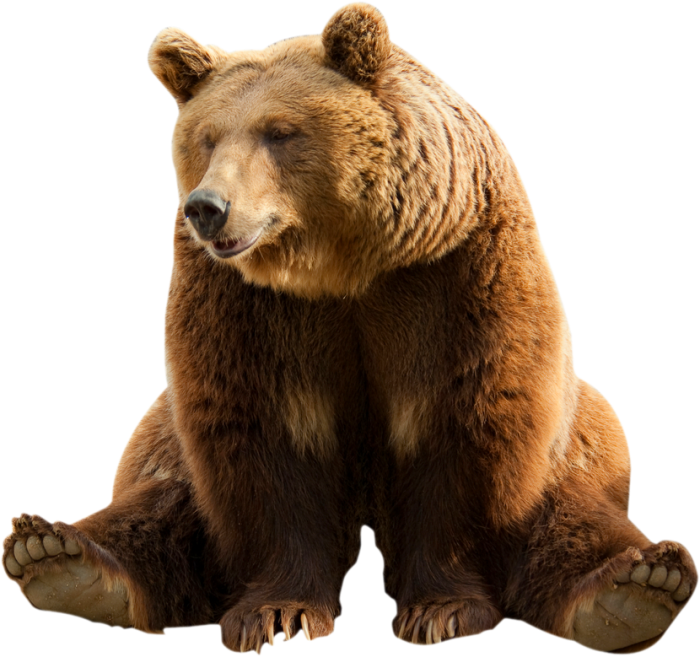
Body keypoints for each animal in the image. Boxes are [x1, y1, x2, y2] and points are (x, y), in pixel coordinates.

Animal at [2, 2, 697, 654]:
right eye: (205, 137)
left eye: (280, 131)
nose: (208, 207)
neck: (341, 269)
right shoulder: (248, 307)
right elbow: (266, 437)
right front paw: (276, 613)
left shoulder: (452, 277)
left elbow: (460, 422)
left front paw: (440, 610)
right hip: (157, 438)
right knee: (157, 508)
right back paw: (56, 555)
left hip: (584, 445)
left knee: (574, 521)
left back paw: (639, 584)